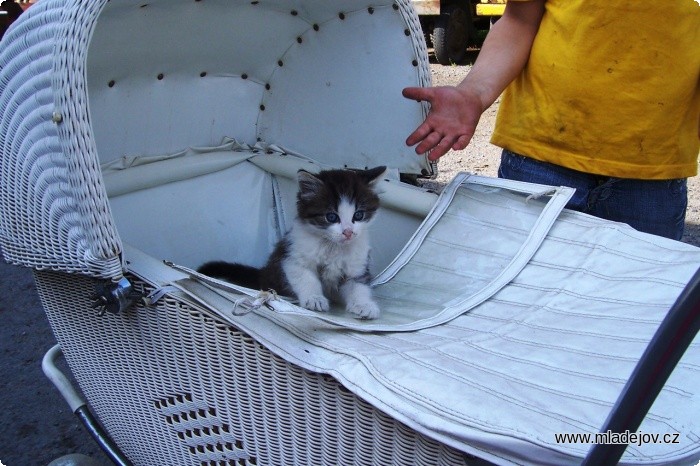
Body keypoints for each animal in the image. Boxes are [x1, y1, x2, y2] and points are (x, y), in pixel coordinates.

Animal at [198, 167, 388, 320]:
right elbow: (307, 279)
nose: (348, 232)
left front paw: (364, 305)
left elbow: (359, 287)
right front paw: (314, 299)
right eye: (332, 217)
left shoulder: (357, 267)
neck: (333, 247)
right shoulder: (291, 258)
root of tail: (263, 273)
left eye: (359, 215)